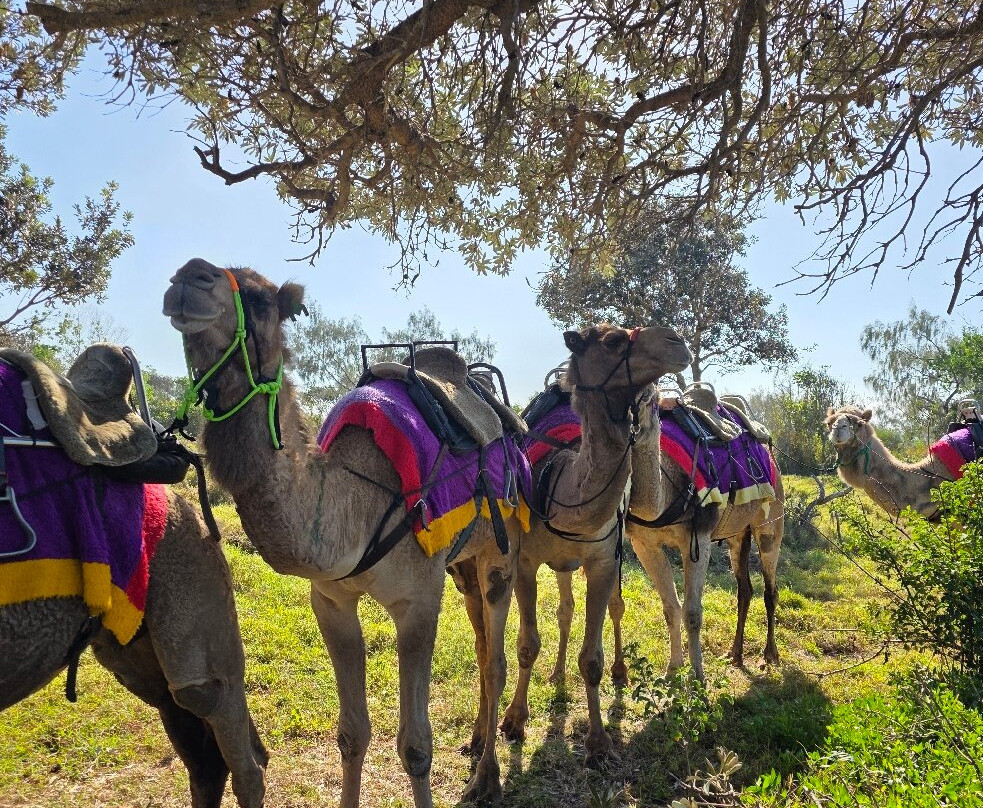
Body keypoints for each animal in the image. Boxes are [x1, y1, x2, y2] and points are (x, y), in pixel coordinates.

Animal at [163, 259, 525, 807]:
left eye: (261, 299)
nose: (189, 276)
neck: (352, 501)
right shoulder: (331, 599)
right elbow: (352, 733)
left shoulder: (418, 599)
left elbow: (416, 745)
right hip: (462, 562)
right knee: (483, 644)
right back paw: (477, 739)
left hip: (500, 548)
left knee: (496, 658)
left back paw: (487, 778)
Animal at [499, 325, 693, 764]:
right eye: (612, 340)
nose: (678, 342)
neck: (560, 487)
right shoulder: (525, 561)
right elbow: (527, 644)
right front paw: (514, 720)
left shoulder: (603, 561)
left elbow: (592, 655)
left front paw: (599, 740)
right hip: (562, 562)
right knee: (565, 608)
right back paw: (556, 673)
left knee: (615, 609)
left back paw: (620, 672)